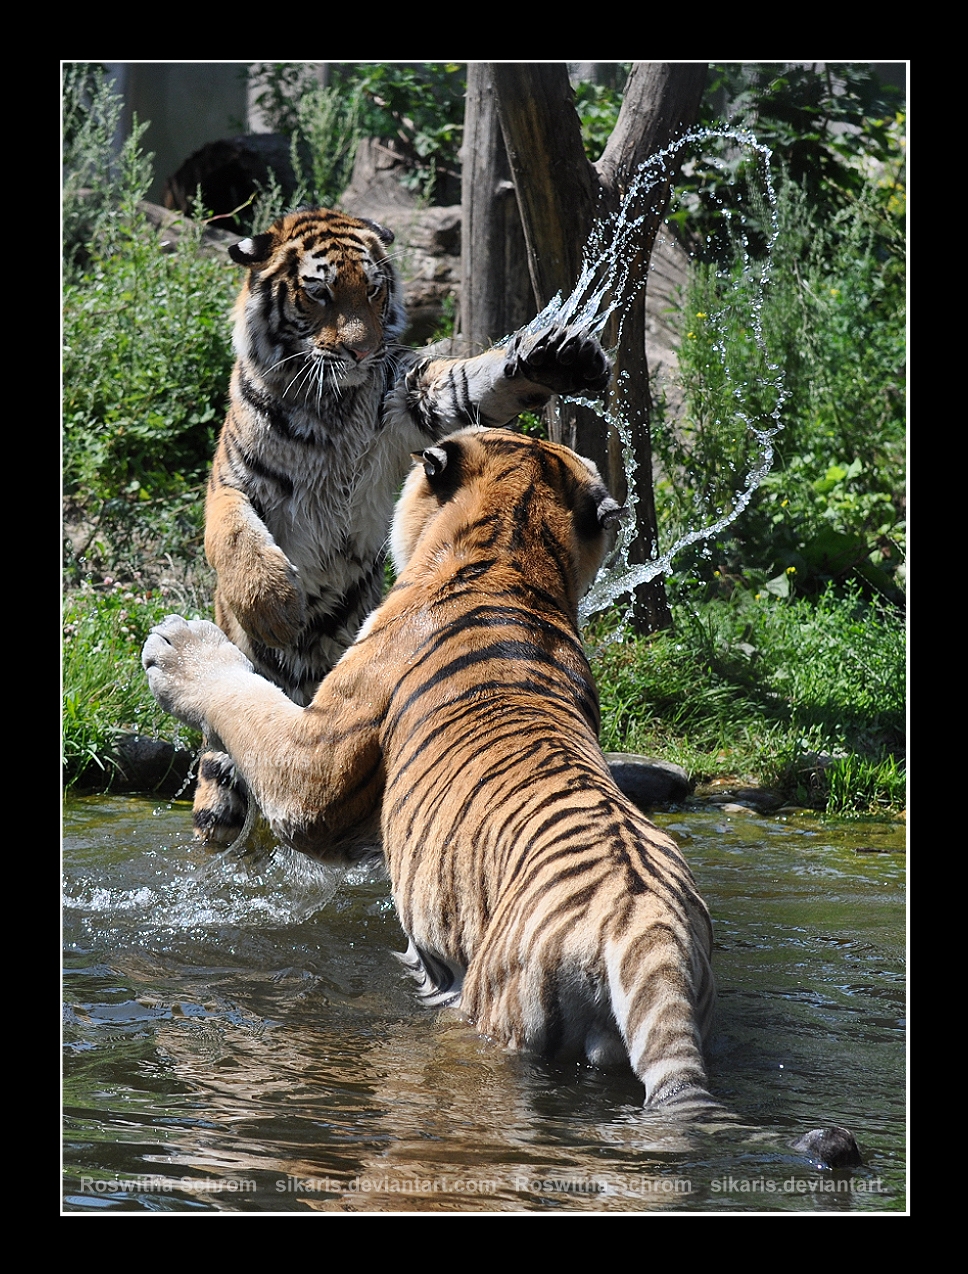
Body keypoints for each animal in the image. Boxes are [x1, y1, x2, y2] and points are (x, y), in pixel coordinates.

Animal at [145, 428, 718, 1105]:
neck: (511, 555)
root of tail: (650, 937)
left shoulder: (314, 767)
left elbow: (248, 702)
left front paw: (177, 647)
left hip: (492, 1014)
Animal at [192, 206, 608, 845]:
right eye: (319, 293)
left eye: (374, 290)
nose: (363, 354)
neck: (327, 407)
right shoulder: (233, 480)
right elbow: (233, 530)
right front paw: (273, 605)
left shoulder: (416, 395)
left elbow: (473, 381)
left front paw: (556, 359)